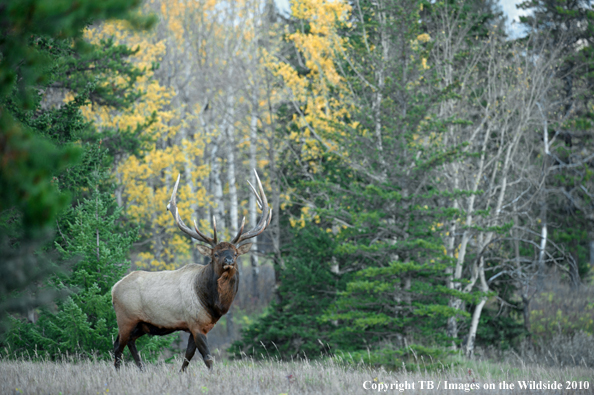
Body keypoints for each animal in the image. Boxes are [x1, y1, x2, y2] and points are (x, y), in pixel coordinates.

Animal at [110, 170, 270, 372]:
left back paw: (142, 369)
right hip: (125, 318)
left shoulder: (199, 326)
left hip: (141, 324)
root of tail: (113, 289)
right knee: (118, 345)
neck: (213, 304)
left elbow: (188, 355)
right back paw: (118, 371)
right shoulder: (195, 324)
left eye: (235, 252)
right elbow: (207, 358)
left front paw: (181, 374)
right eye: (215, 254)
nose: (229, 260)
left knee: (129, 342)